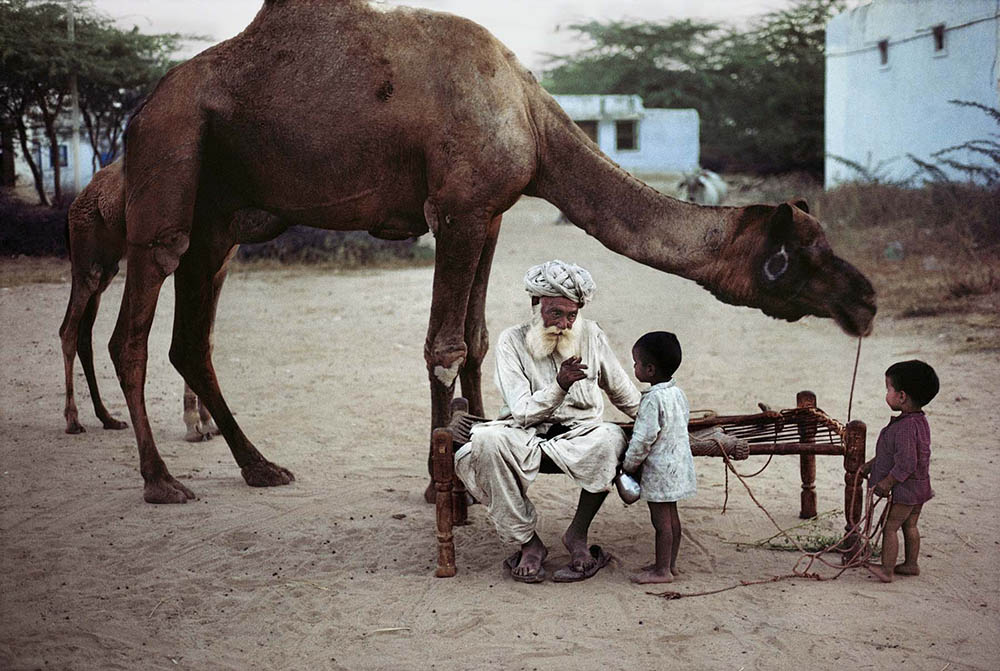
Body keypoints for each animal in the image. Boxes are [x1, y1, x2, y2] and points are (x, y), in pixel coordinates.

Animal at [59, 158, 282, 440]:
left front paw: (208, 422)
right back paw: (73, 421)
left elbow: (208, 339)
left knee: (84, 334)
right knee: (69, 330)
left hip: (108, 266)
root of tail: (78, 199)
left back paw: (108, 418)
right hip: (86, 258)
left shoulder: (221, 267)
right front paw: (193, 424)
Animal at [111, 0, 876, 504]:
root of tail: (140, 109)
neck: (530, 113)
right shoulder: (456, 207)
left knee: (191, 339)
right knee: (136, 325)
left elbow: (478, 338)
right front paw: (437, 483)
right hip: (170, 160)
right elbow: (445, 345)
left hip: (221, 220)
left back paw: (260, 466)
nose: (866, 300)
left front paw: (475, 451)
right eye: (794, 258)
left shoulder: (491, 213)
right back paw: (160, 480)